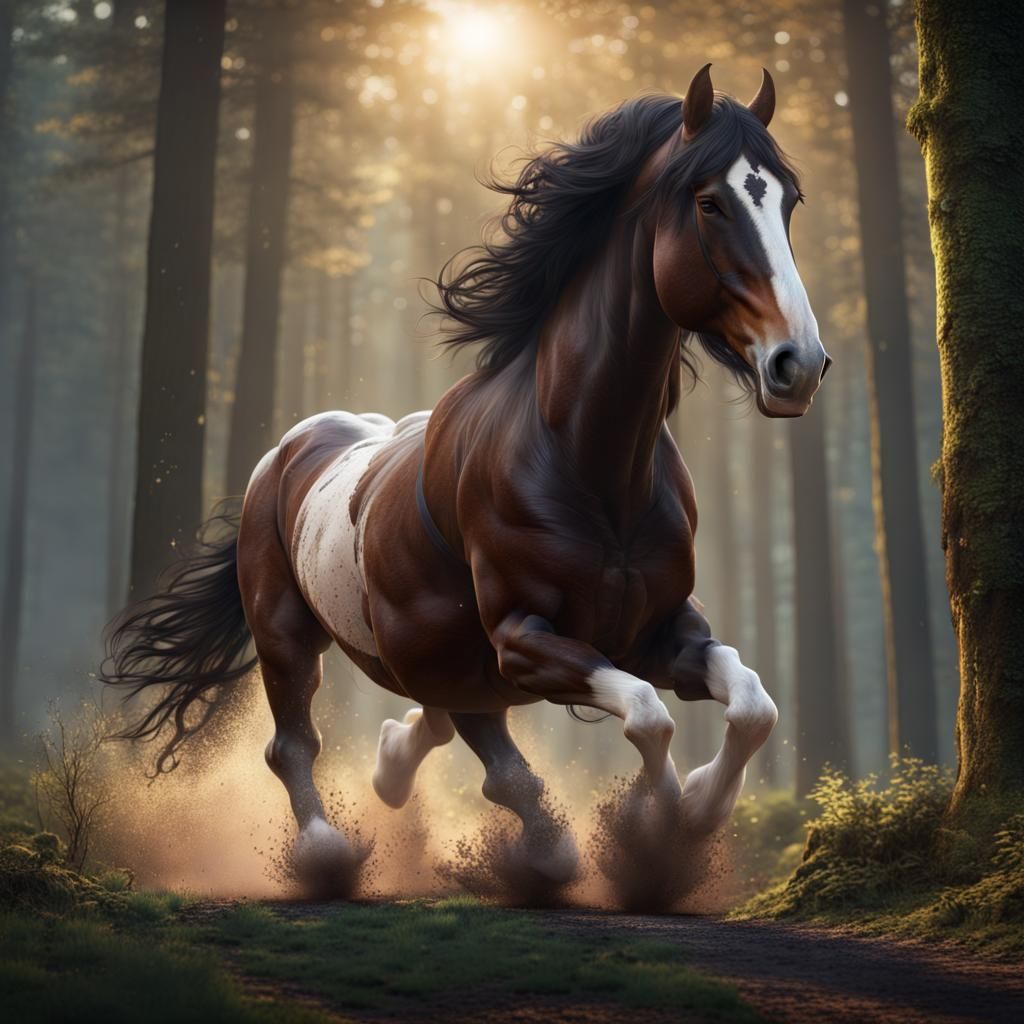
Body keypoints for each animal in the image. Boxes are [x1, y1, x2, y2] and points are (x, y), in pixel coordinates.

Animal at [103, 65, 830, 900]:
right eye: (711, 201)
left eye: (788, 199)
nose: (799, 364)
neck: (589, 465)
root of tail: (283, 453)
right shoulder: (522, 638)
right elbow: (648, 717)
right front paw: (651, 829)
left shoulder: (661, 629)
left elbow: (751, 707)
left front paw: (691, 814)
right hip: (291, 637)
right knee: (300, 746)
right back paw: (332, 852)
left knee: (454, 726)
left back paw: (405, 773)